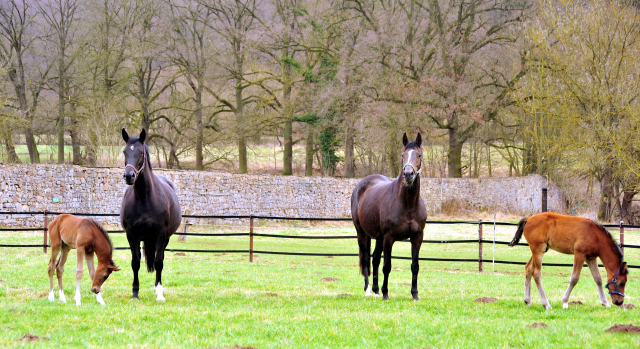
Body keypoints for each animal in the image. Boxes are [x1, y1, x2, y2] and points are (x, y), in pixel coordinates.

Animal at [120, 128, 181, 300]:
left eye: (140, 152)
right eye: (124, 151)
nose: (129, 176)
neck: (144, 198)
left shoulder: (161, 234)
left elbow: (158, 262)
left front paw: (159, 293)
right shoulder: (131, 235)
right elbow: (135, 262)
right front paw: (135, 293)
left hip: (164, 239)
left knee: (159, 259)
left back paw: (157, 288)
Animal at [352, 133, 428, 300]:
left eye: (419, 155)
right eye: (402, 155)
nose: (408, 174)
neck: (408, 204)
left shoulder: (417, 237)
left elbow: (415, 266)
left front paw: (415, 294)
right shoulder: (389, 238)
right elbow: (387, 266)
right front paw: (386, 294)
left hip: (378, 237)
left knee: (374, 259)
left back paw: (376, 290)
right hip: (362, 233)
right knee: (366, 259)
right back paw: (368, 290)